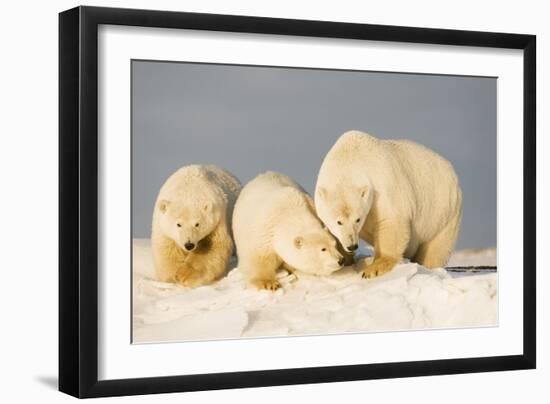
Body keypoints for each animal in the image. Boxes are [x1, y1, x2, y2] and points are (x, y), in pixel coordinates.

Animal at [316, 131, 464, 280]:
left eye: (358, 219)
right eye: (338, 222)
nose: (352, 246)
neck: (349, 158)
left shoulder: (382, 185)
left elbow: (391, 222)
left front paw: (374, 268)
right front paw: (345, 259)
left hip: (442, 213)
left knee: (435, 249)